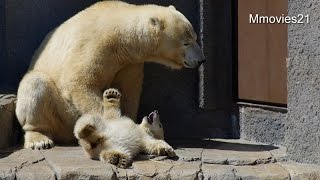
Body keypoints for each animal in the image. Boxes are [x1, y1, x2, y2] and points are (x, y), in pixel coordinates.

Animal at [15, 0, 205, 149]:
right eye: (186, 42)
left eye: (196, 37)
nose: (201, 60)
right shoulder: (94, 44)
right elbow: (80, 82)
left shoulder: (129, 62)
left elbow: (129, 91)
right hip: (62, 112)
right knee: (35, 84)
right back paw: (39, 139)